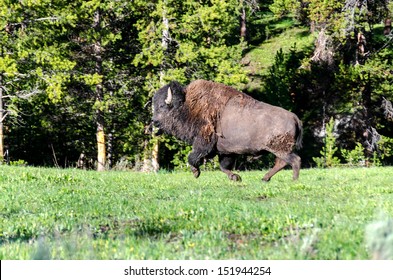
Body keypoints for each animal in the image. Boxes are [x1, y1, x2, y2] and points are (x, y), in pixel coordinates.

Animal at [152, 79, 302, 182]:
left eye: (161, 106)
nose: (154, 121)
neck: (187, 105)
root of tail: (294, 117)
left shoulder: (203, 143)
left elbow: (192, 157)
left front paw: (196, 173)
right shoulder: (226, 152)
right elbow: (224, 166)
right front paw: (236, 177)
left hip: (280, 149)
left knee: (294, 160)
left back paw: (293, 180)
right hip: (279, 150)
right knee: (282, 162)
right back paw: (265, 179)